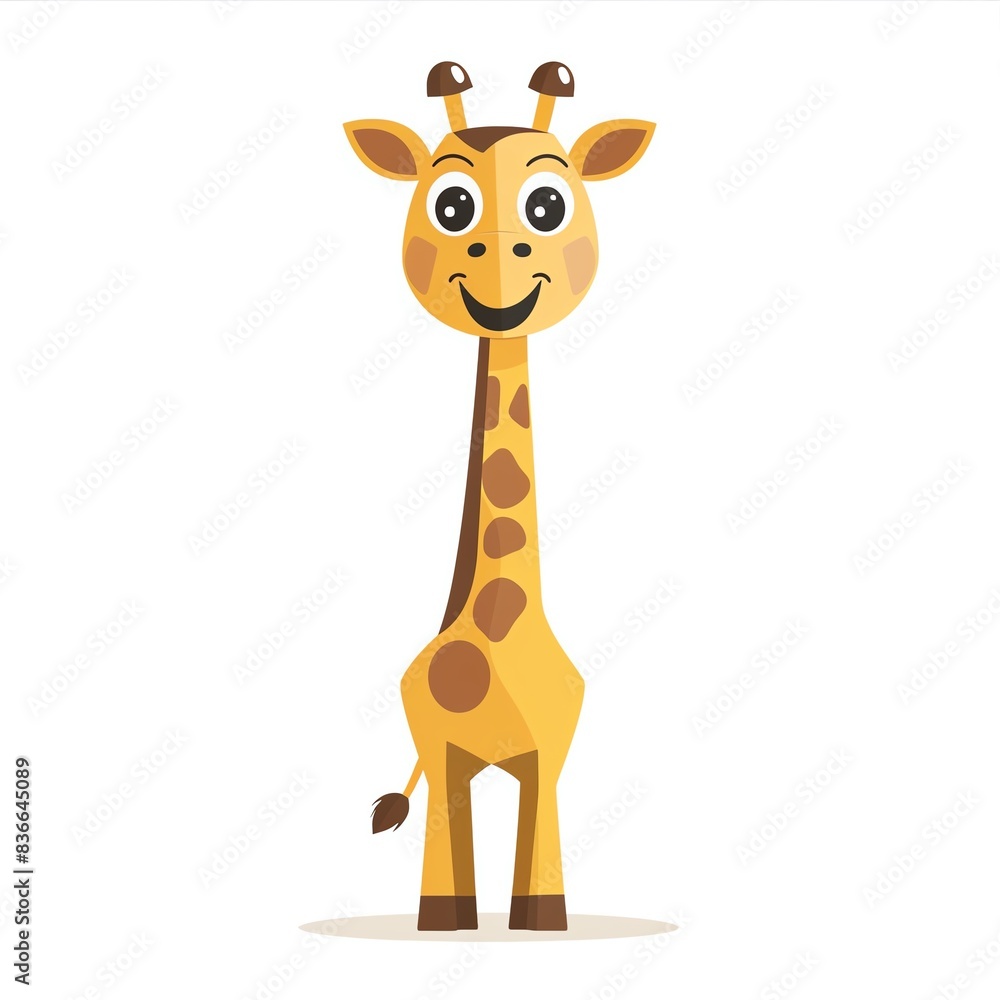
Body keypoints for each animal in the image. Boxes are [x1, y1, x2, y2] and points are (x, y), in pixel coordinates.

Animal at [344, 61, 653, 932]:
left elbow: (541, 846)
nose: (501, 260)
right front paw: (444, 924)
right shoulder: (441, 754)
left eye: (547, 205)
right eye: (452, 206)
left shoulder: (550, 756)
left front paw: (540, 920)